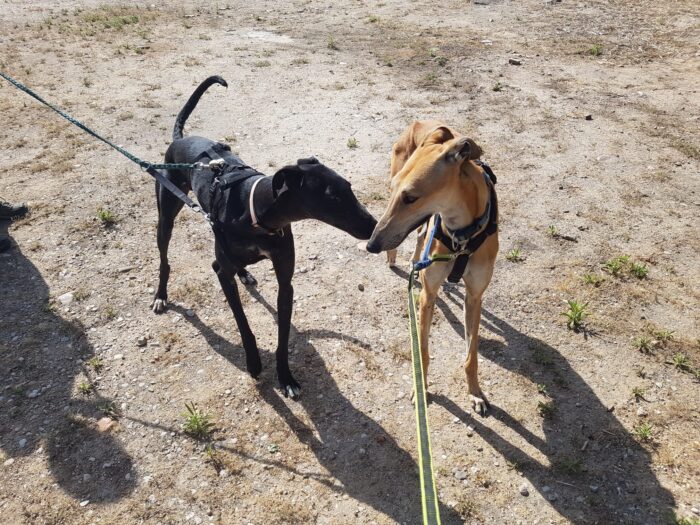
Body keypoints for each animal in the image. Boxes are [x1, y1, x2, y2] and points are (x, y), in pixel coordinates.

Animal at [152, 76, 377, 398]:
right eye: (333, 196)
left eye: (349, 187)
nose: (373, 226)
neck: (255, 212)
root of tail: (179, 138)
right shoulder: (223, 274)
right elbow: (243, 324)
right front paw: (254, 363)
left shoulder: (285, 282)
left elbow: (283, 336)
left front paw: (286, 377)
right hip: (166, 216)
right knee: (165, 259)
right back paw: (161, 295)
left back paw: (245, 273)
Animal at [366, 121, 498, 415]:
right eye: (395, 190)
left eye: (411, 197)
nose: (371, 244)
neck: (462, 236)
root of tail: (421, 123)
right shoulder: (429, 293)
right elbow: (423, 352)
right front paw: (421, 390)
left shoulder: (475, 296)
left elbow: (471, 354)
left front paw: (475, 393)